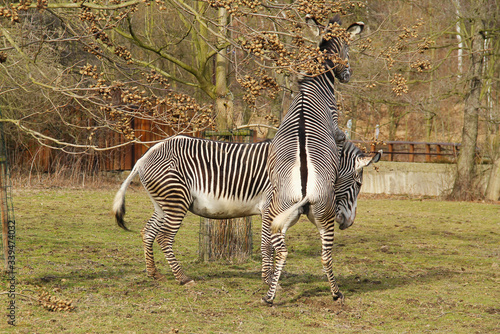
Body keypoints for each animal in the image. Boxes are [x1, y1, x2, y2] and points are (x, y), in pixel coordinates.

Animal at [113, 134, 378, 286]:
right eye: (358, 184)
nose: (348, 223)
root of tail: (145, 156)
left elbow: (270, 245)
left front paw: (271, 278)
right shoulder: (270, 207)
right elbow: (267, 246)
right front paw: (269, 281)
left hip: (163, 204)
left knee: (148, 232)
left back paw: (153, 274)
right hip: (175, 201)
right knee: (164, 237)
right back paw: (183, 278)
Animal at [262, 16, 364, 306]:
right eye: (348, 50)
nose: (347, 75)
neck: (314, 84)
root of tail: (305, 188)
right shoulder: (338, 128)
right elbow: (344, 144)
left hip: (279, 212)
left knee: (282, 251)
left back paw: (270, 296)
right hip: (325, 218)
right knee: (325, 257)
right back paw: (336, 293)